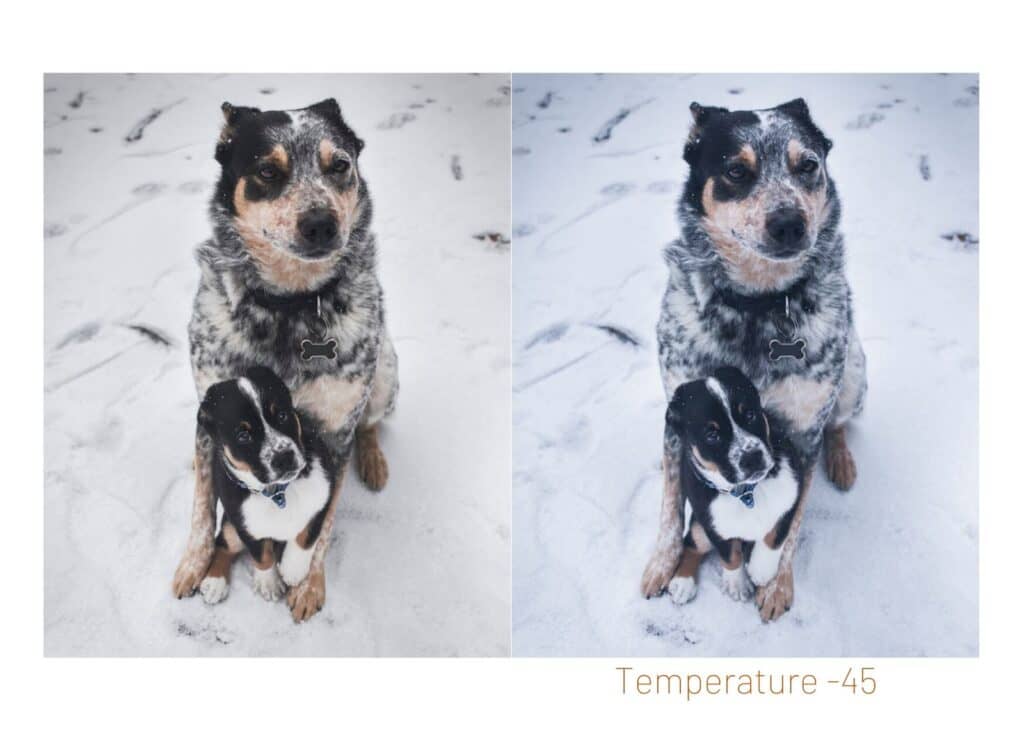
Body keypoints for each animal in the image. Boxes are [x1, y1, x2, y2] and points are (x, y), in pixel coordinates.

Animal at [192, 364, 335, 602]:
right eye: (243, 435)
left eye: (282, 415)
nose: (284, 457)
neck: (279, 493)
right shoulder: (245, 525)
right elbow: (262, 555)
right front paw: (269, 582)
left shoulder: (322, 501)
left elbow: (305, 537)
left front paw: (293, 570)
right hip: (231, 525)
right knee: (223, 542)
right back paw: (215, 581)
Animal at [663, 366, 806, 606]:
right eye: (712, 434)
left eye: (749, 415)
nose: (752, 457)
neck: (748, 492)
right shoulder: (713, 525)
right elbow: (729, 555)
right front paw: (737, 584)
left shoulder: (791, 498)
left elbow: (775, 536)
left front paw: (761, 569)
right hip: (699, 527)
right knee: (691, 542)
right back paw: (683, 582)